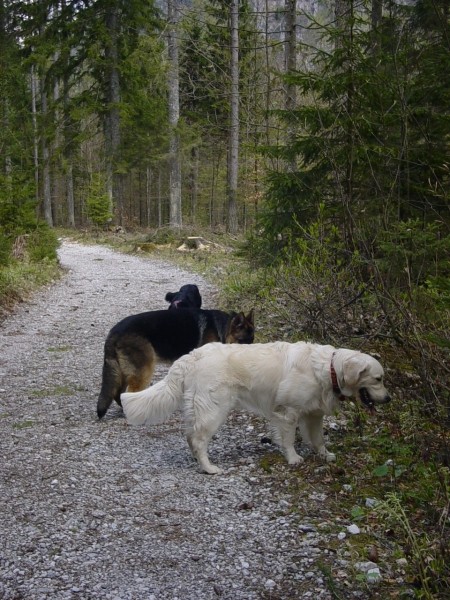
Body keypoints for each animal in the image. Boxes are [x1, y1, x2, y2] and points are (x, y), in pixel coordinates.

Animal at [120, 342, 390, 474]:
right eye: (378, 379)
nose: (388, 399)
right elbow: (288, 439)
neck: (329, 368)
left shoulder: (313, 414)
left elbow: (318, 439)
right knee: (198, 438)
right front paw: (293, 458)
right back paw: (209, 468)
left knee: (190, 436)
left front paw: (325, 455)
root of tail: (190, 356)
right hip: (214, 409)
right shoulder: (288, 412)